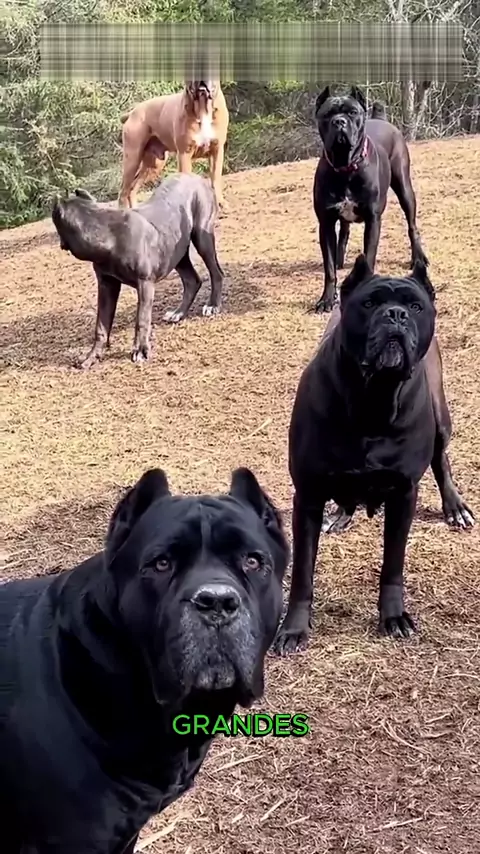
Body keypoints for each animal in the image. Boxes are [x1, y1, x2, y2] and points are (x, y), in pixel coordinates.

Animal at [51, 174, 224, 369]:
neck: (108, 234)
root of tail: (197, 177)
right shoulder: (107, 286)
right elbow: (101, 326)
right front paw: (92, 356)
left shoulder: (145, 284)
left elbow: (141, 319)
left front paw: (140, 350)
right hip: (176, 253)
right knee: (192, 281)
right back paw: (178, 313)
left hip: (202, 237)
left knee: (216, 273)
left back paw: (213, 305)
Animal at [118, 80, 229, 211]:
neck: (203, 108)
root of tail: (132, 112)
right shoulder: (185, 153)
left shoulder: (216, 151)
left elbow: (216, 178)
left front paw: (220, 203)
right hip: (132, 158)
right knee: (124, 191)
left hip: (153, 164)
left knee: (132, 188)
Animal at [273, 255, 474, 654]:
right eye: (369, 304)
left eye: (415, 306)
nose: (395, 314)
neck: (374, 399)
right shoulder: (309, 495)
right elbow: (303, 570)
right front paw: (294, 629)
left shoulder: (403, 494)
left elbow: (393, 563)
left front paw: (393, 616)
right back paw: (342, 514)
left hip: (441, 414)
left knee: (441, 459)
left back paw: (454, 506)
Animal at [312, 85, 429, 313]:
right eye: (327, 114)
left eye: (352, 112)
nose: (339, 121)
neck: (345, 168)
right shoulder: (326, 223)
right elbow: (329, 268)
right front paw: (327, 299)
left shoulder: (373, 220)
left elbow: (369, 255)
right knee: (345, 232)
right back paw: (340, 260)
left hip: (404, 188)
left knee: (412, 226)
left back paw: (418, 257)